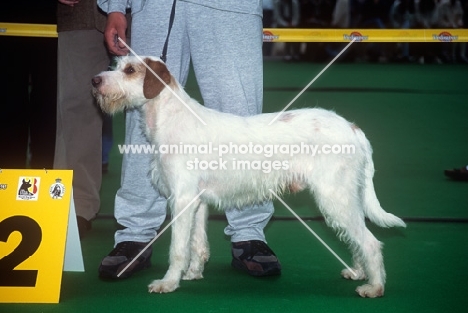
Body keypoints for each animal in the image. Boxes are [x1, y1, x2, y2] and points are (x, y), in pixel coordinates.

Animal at [92, 56, 406, 298]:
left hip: (335, 196)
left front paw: (168, 283)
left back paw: (374, 287)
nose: (95, 80)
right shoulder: (197, 202)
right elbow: (196, 242)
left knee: (370, 242)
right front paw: (193, 273)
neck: (170, 116)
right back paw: (359, 272)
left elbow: (178, 248)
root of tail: (352, 128)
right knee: (358, 237)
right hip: (345, 196)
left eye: (130, 70)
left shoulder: (181, 200)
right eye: (117, 64)